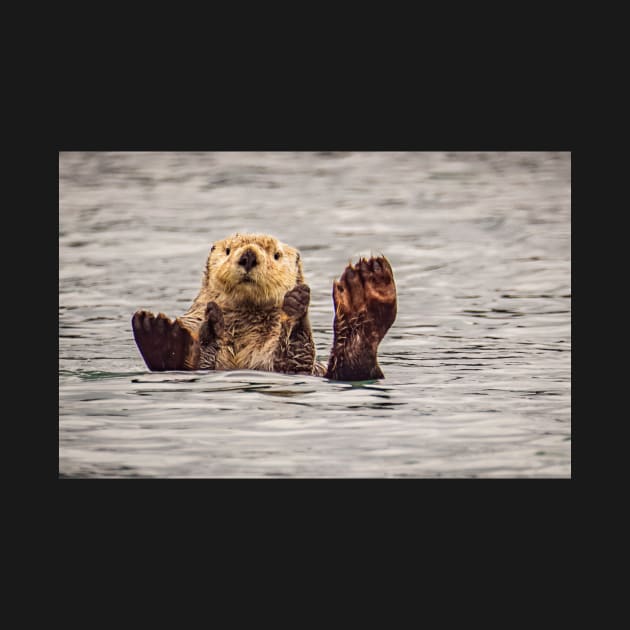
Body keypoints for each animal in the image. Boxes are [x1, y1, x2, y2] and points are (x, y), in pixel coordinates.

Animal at [133, 232, 398, 380]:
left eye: (276, 255)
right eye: (228, 250)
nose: (248, 256)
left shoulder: (280, 359)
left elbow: (292, 359)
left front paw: (296, 306)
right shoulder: (194, 318)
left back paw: (366, 287)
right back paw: (159, 334)